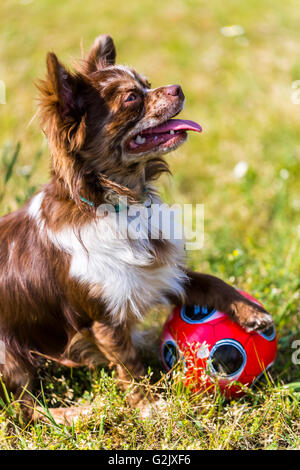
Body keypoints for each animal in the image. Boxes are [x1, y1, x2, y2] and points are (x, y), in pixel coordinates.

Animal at [0, 33, 274, 422]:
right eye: (132, 97)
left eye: (148, 83)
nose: (177, 87)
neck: (122, 201)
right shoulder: (104, 317)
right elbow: (129, 366)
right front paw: (149, 406)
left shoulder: (160, 275)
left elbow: (208, 280)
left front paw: (251, 312)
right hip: (9, 354)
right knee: (28, 408)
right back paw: (81, 412)